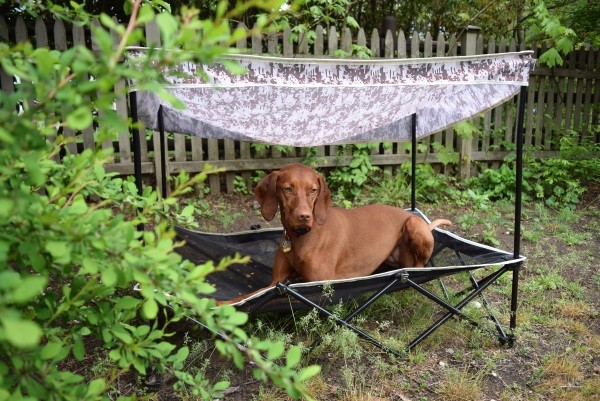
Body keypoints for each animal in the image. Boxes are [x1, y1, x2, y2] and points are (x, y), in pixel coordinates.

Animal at [223, 162, 448, 304]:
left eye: (313, 190)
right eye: (287, 189)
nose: (304, 216)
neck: (300, 237)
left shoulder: (319, 285)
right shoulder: (275, 282)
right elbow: (244, 297)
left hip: (414, 226)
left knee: (420, 265)